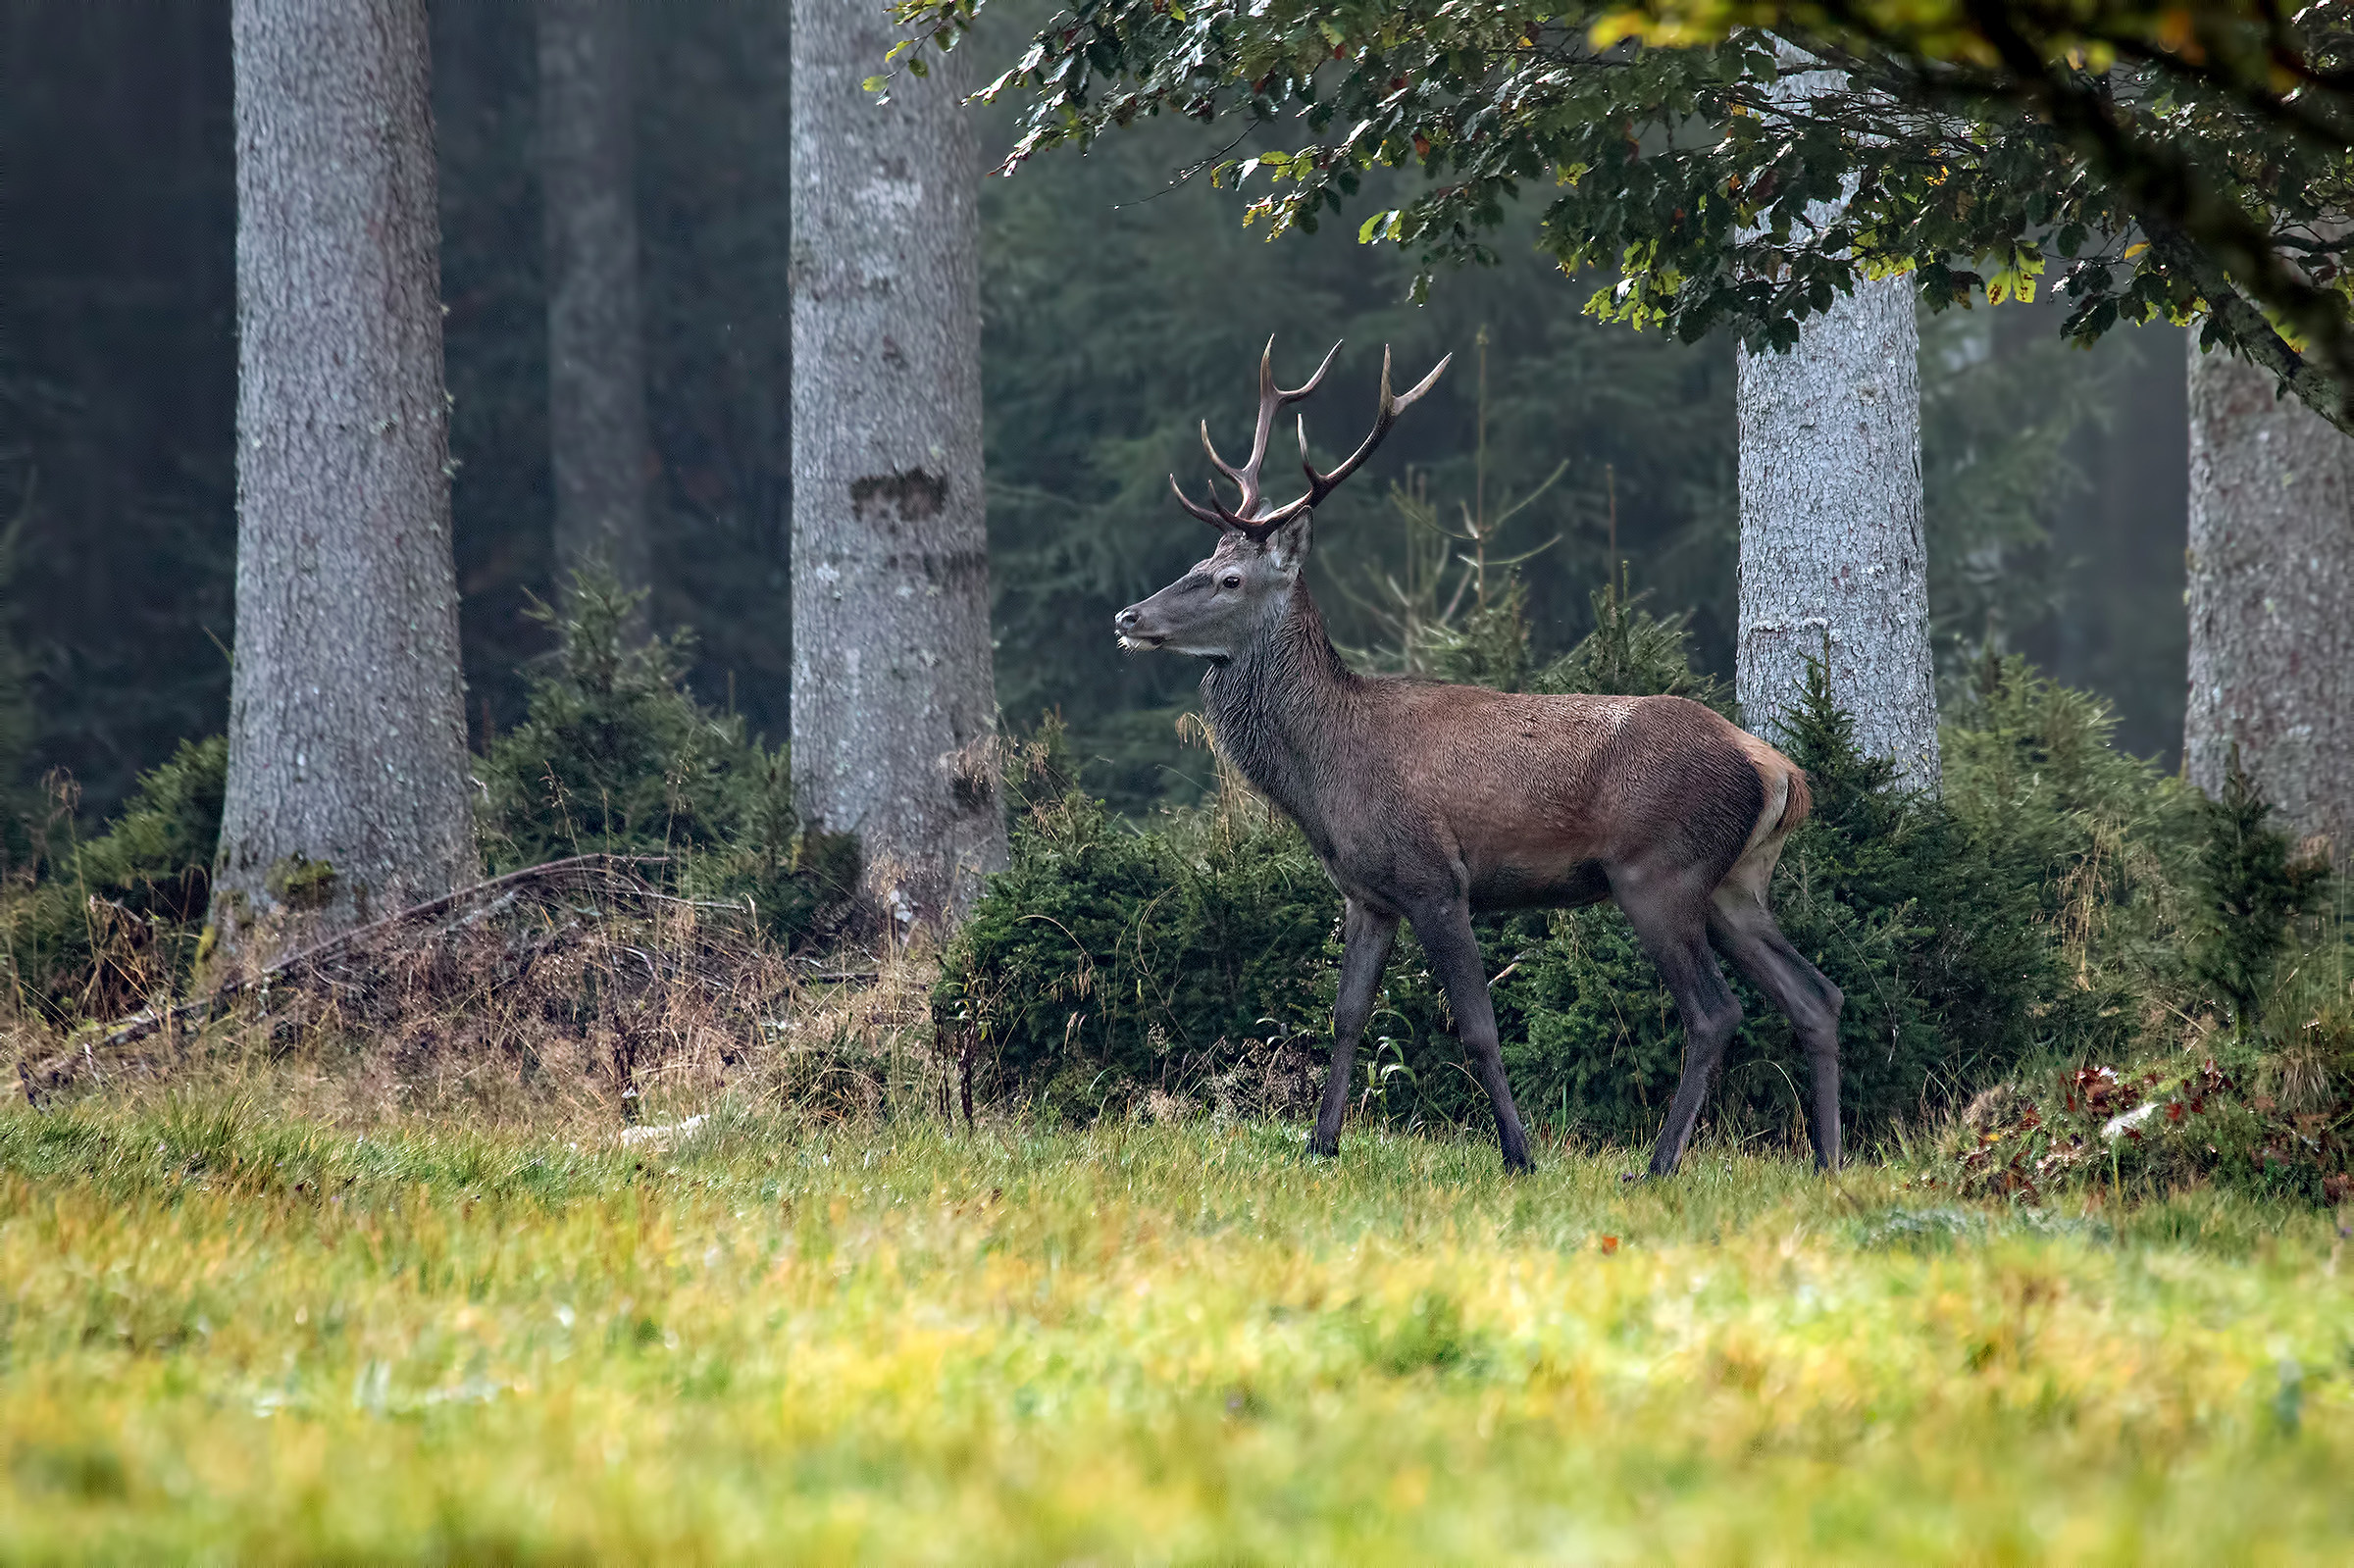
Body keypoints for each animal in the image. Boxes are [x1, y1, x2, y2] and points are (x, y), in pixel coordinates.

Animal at [1112, 340, 1845, 1176]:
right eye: (1199, 559)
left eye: (1230, 578)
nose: (1128, 616)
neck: (1325, 776)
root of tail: (1779, 770)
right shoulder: (1366, 891)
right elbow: (1347, 1015)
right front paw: (1320, 1144)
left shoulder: (1435, 877)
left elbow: (1477, 1027)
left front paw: (1519, 1152)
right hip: (1736, 881)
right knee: (1816, 996)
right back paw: (1826, 1161)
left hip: (1658, 871)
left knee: (1716, 1012)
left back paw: (1658, 1165)